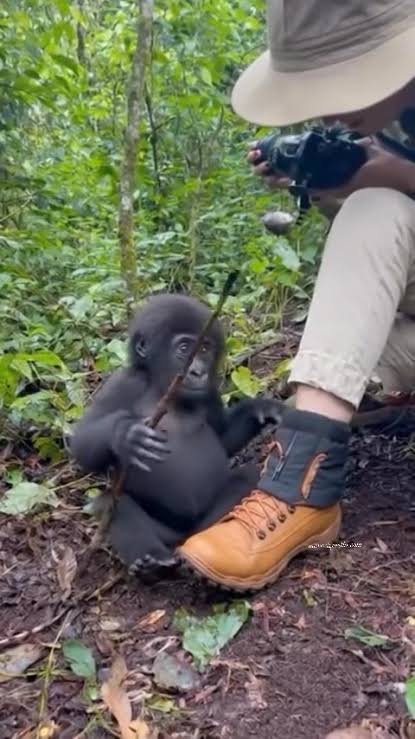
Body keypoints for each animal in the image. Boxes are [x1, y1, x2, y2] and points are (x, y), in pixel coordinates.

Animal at [70, 293, 281, 572]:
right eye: (184, 349)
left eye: (205, 349)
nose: (198, 372)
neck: (164, 389)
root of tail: (183, 536)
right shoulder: (124, 383)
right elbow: (83, 446)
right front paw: (126, 435)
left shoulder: (209, 392)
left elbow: (223, 438)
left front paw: (259, 409)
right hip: (164, 533)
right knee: (113, 504)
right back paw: (151, 558)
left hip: (203, 522)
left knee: (246, 477)